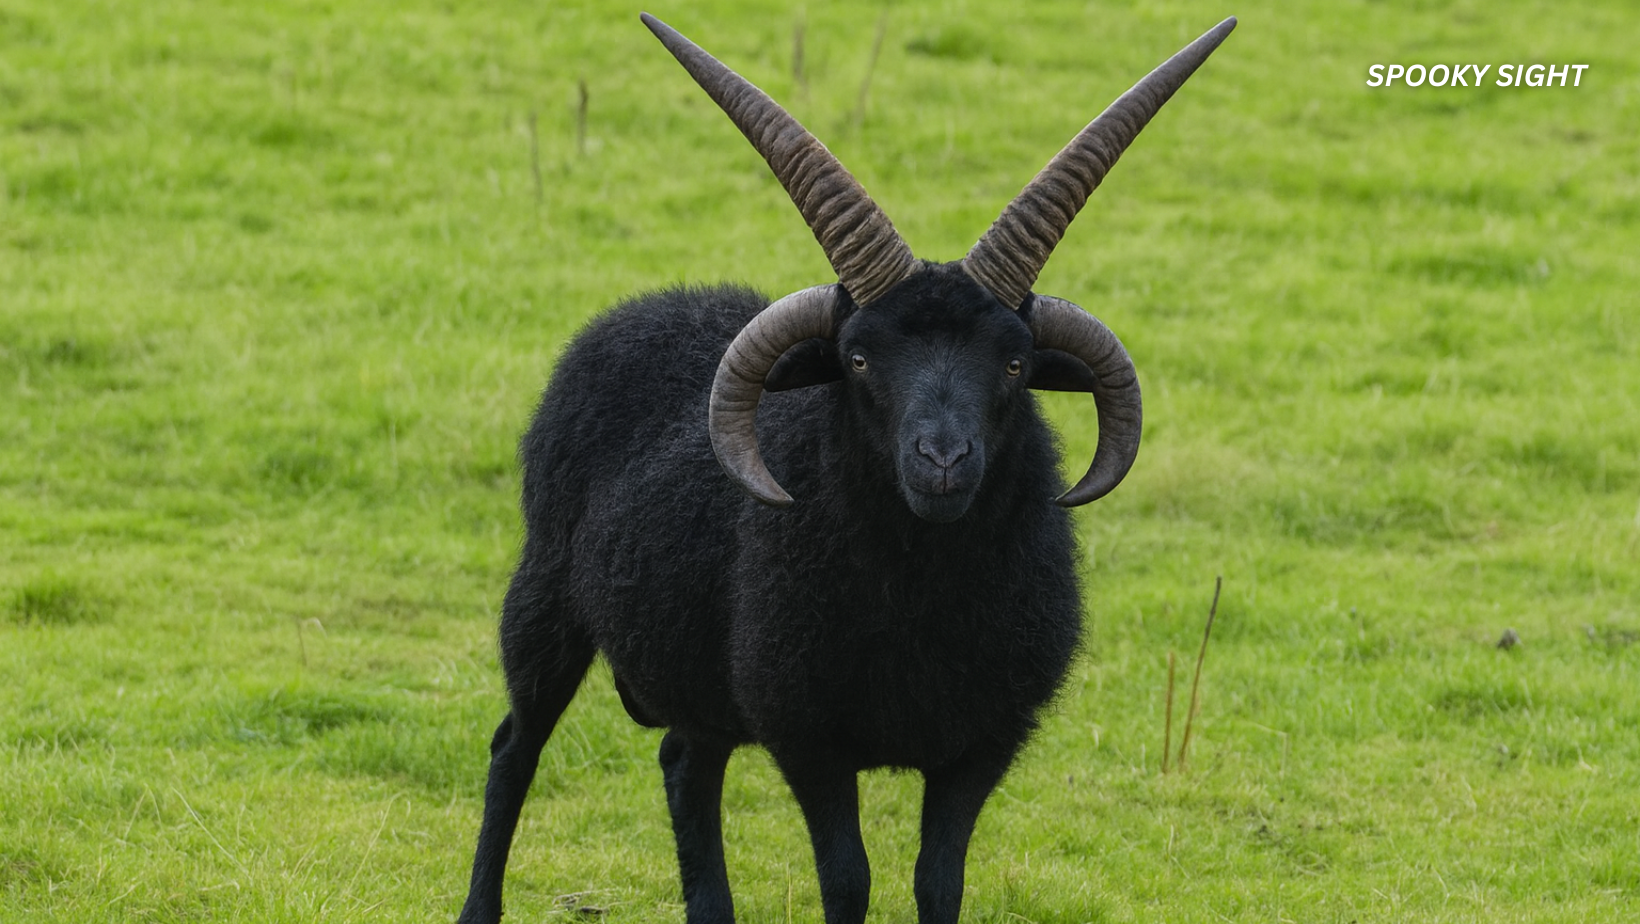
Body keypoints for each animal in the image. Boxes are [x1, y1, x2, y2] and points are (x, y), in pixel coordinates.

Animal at [456, 13, 1235, 924]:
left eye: (1014, 362)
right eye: (858, 358)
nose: (942, 462)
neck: (921, 596)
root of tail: (653, 303)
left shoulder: (982, 743)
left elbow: (939, 881)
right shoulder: (809, 736)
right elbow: (848, 880)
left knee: (687, 763)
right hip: (543, 600)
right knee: (515, 747)